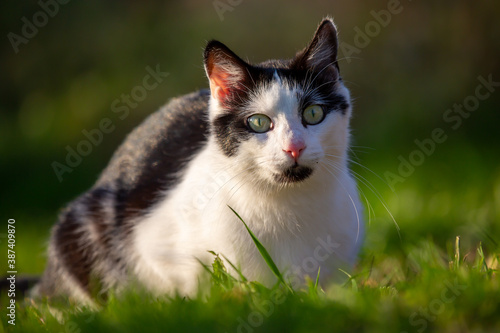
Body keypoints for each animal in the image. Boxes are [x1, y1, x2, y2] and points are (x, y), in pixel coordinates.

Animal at [33, 18, 366, 304]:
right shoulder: (154, 246)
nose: (294, 148)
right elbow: (188, 285)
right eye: (258, 122)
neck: (288, 203)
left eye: (313, 113)